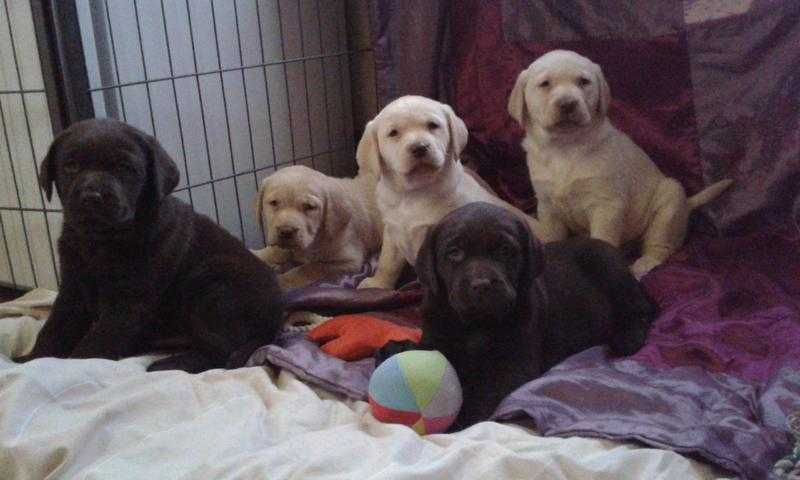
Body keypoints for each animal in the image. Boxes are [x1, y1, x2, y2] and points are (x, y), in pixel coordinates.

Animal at [253, 165, 384, 288]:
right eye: (274, 203)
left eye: (309, 207)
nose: (286, 231)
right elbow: (274, 251)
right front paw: (257, 255)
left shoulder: (349, 261)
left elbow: (309, 268)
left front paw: (281, 281)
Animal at [360, 94, 548, 288]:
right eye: (393, 133)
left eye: (433, 125)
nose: (419, 147)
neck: (414, 192)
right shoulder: (393, 230)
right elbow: (387, 262)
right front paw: (377, 284)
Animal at [510, 48, 736, 278]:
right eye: (545, 84)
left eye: (583, 82)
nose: (567, 104)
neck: (565, 147)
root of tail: (687, 204)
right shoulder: (548, 207)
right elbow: (552, 238)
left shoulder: (606, 205)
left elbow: (602, 239)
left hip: (667, 208)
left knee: (660, 247)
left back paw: (643, 264)